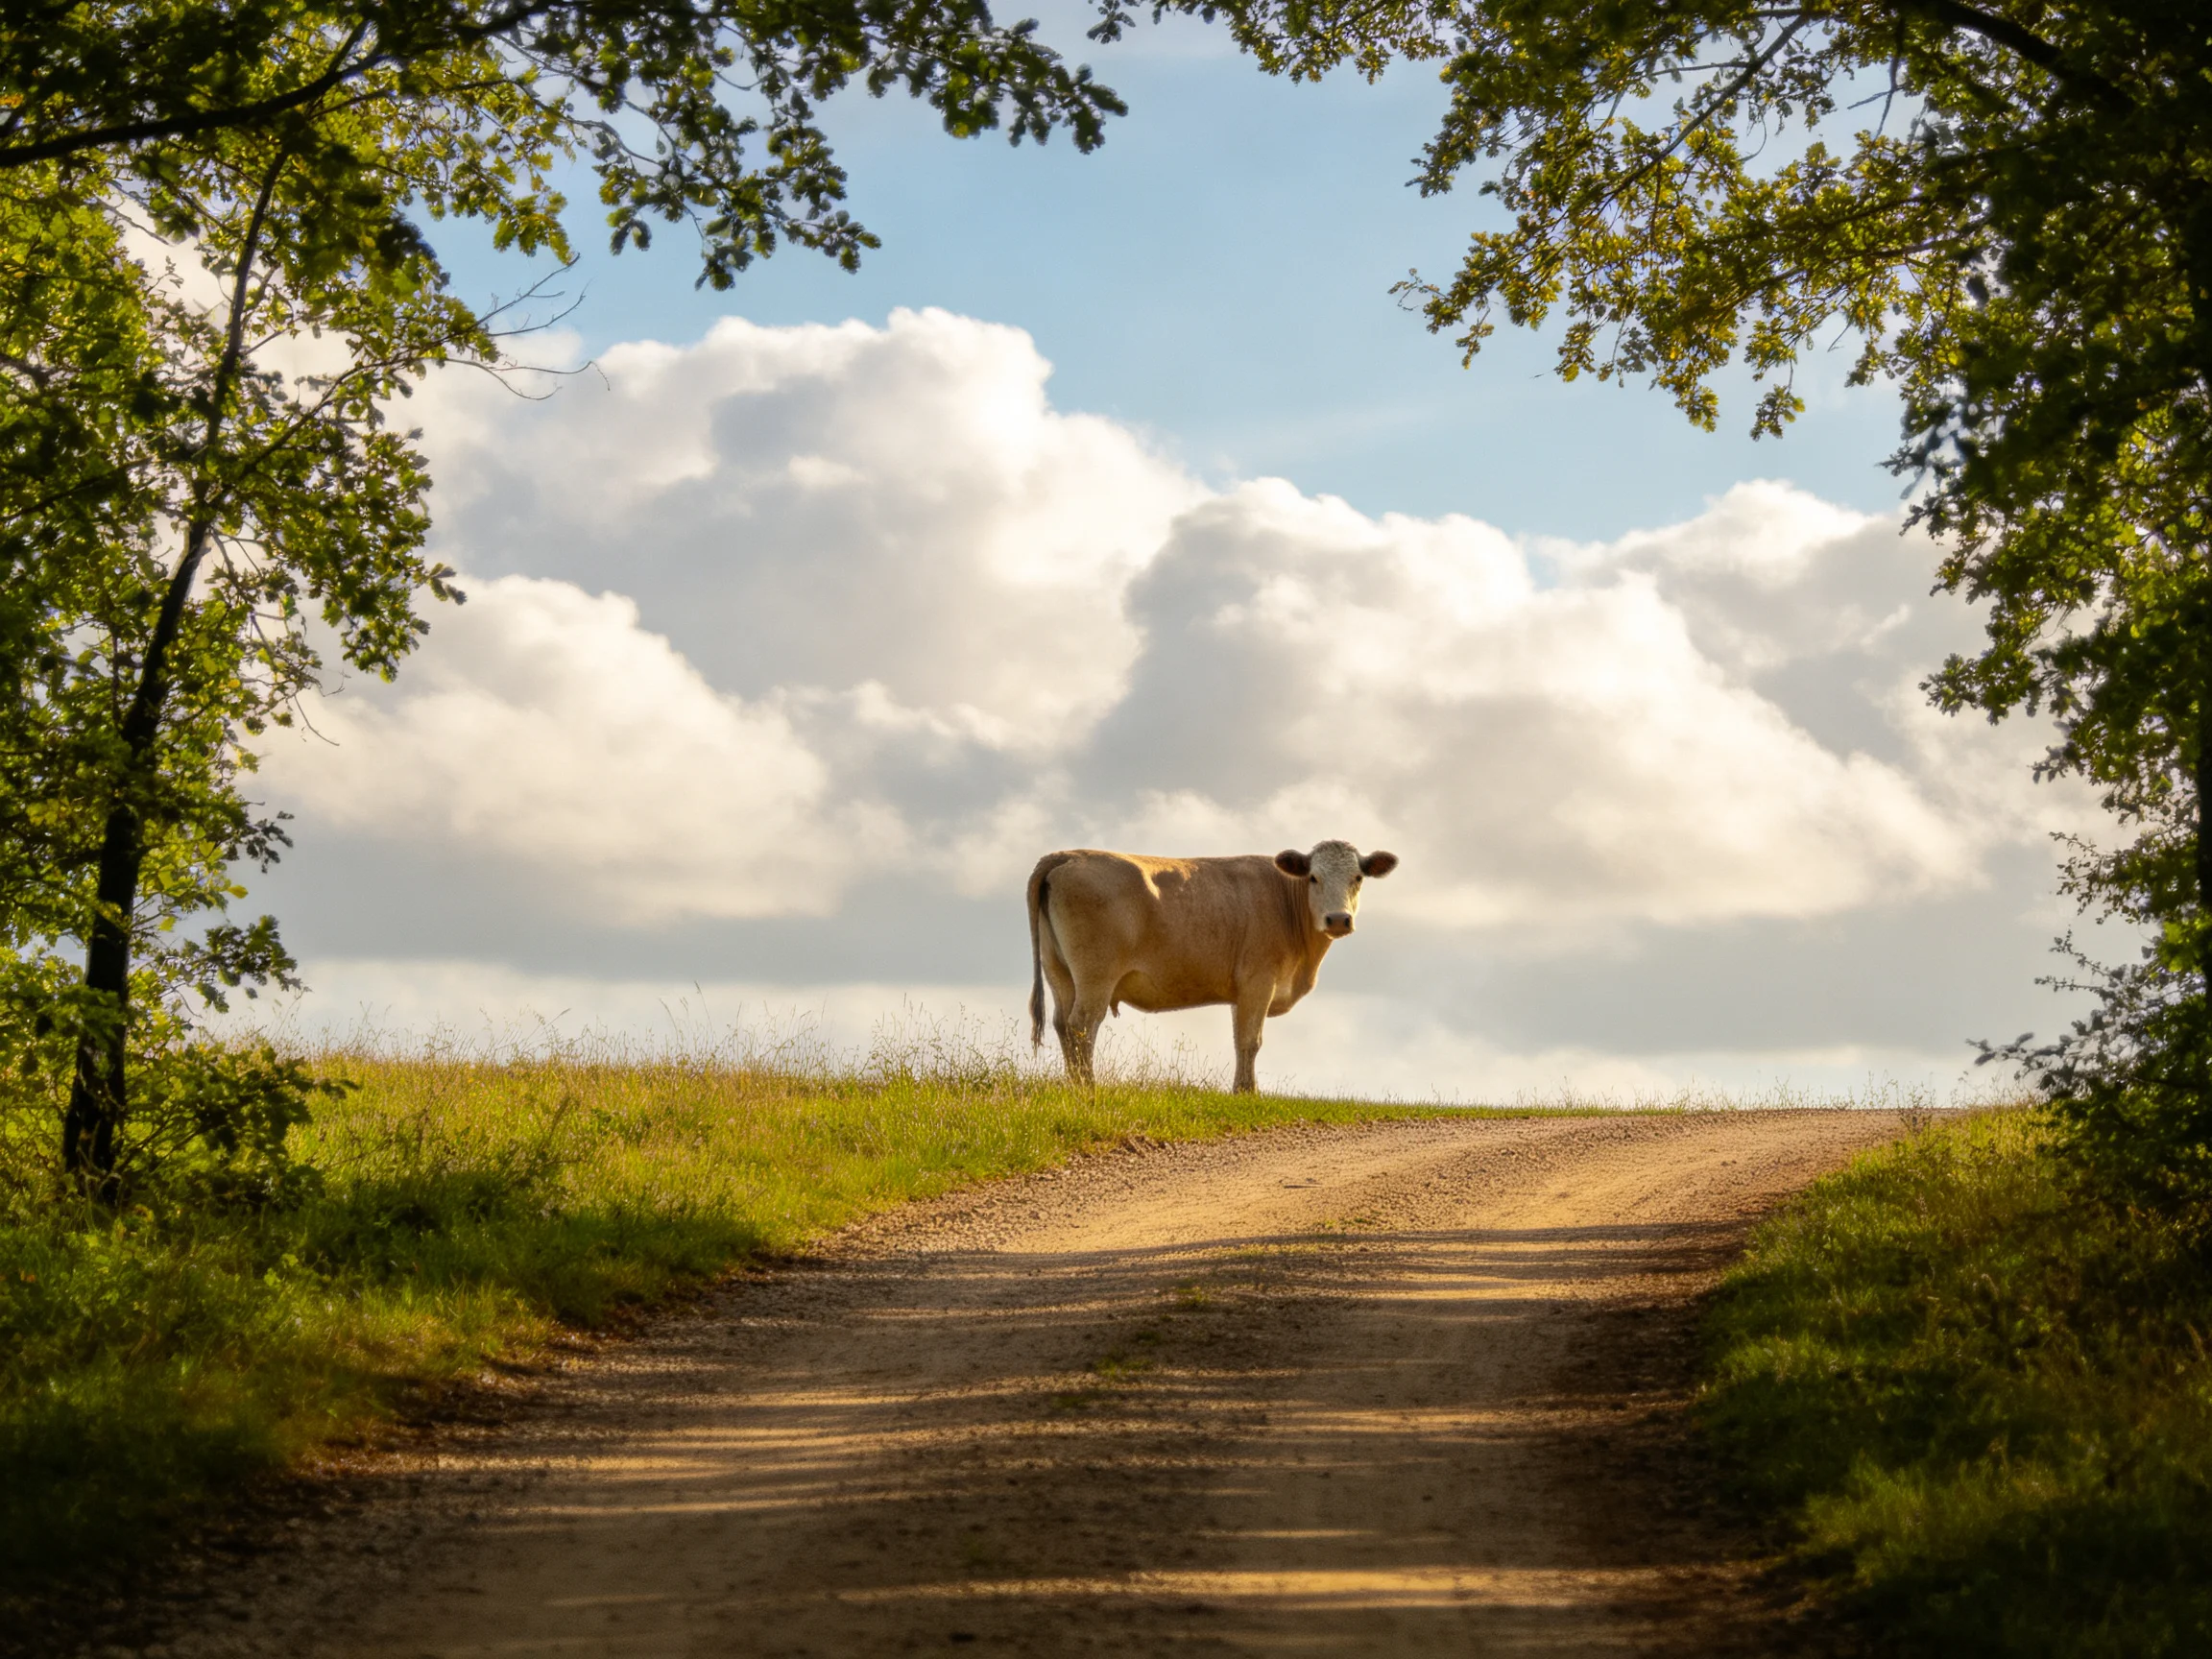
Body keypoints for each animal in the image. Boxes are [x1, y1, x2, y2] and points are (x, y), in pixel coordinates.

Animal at [1027, 840, 1399, 1094]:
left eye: (1358, 877)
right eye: (1313, 878)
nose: (1338, 919)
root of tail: (1067, 854)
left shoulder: (1242, 991)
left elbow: (1239, 1039)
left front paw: (1241, 1090)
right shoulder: (1259, 981)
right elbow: (1251, 1040)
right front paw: (1248, 1094)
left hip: (1058, 970)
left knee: (1062, 1024)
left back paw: (1073, 1086)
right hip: (1095, 975)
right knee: (1082, 1026)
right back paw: (1088, 1089)